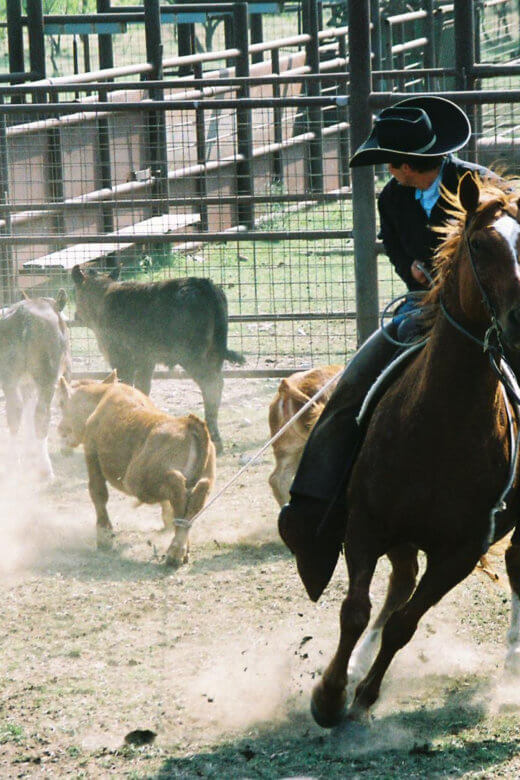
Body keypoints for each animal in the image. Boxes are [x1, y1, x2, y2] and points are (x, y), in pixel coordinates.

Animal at [54, 372, 213, 568]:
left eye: (62, 403)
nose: (60, 429)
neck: (102, 398)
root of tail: (188, 424)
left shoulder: (92, 455)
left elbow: (98, 493)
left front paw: (104, 538)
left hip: (140, 480)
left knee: (178, 488)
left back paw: (175, 552)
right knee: (195, 496)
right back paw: (181, 547)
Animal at [310, 172, 520, 732]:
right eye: (479, 245)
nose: (519, 327)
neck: (440, 426)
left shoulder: (461, 551)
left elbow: (406, 623)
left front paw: (364, 695)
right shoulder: (366, 524)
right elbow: (356, 610)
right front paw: (329, 695)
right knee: (398, 582)